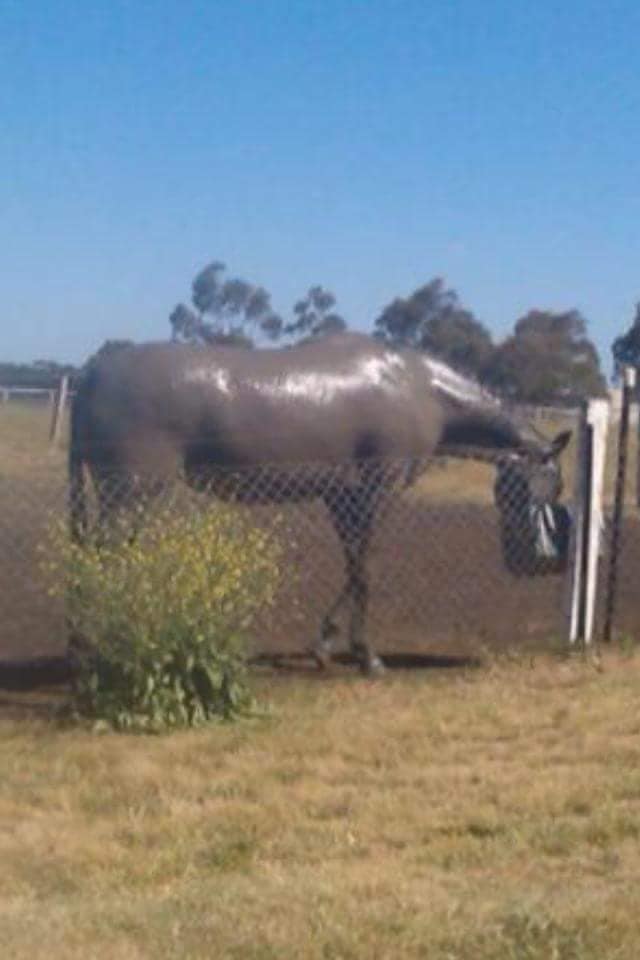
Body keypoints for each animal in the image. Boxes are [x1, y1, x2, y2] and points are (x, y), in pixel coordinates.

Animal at [69, 332, 571, 675]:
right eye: (552, 484)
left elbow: (351, 565)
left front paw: (327, 645)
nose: (540, 561)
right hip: (131, 493)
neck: (418, 387)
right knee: (102, 559)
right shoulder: (377, 491)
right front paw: (366, 655)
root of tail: (95, 370)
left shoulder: (341, 497)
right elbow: (366, 566)